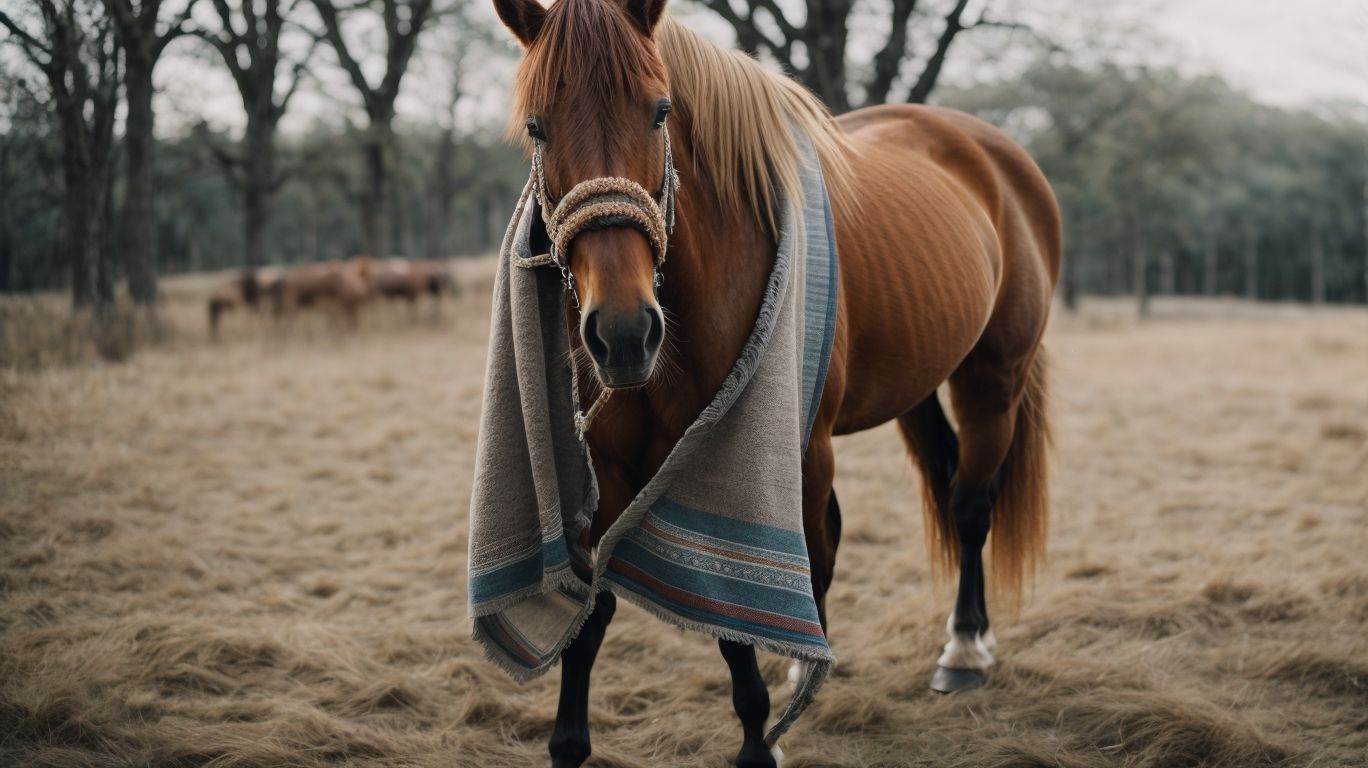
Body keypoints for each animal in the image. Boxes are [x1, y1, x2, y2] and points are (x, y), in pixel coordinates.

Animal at [489, 1, 1061, 765]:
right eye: (536, 126)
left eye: (660, 112)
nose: (624, 332)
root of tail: (999, 155)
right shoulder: (605, 471)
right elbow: (591, 616)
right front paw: (569, 744)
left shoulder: (735, 456)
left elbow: (737, 622)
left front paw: (761, 743)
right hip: (915, 389)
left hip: (990, 380)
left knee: (969, 506)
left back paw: (964, 647)